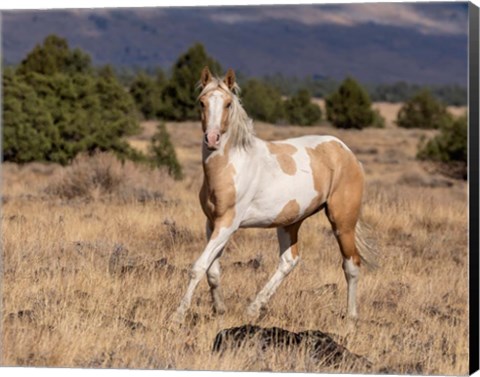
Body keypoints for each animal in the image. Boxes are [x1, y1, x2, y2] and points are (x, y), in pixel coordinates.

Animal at [173, 66, 378, 322]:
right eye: (202, 102)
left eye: (228, 104)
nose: (212, 139)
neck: (231, 165)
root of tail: (347, 153)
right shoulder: (212, 223)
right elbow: (213, 270)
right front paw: (219, 309)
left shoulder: (228, 223)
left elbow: (198, 267)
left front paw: (177, 315)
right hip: (290, 222)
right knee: (289, 260)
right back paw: (253, 308)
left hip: (342, 222)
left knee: (352, 264)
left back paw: (351, 317)